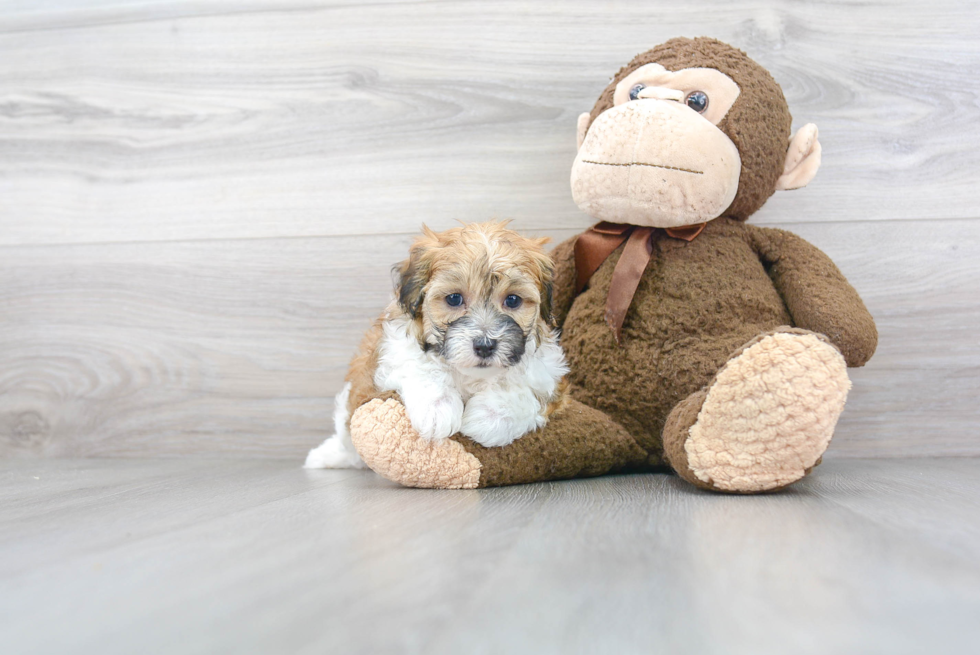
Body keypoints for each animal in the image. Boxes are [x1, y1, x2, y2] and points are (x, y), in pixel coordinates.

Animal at [304, 223, 568, 468]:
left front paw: (489, 416)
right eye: (454, 298)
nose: (484, 346)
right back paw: (326, 456)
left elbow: (527, 394)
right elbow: (420, 366)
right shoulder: (394, 350)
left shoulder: (549, 378)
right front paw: (437, 408)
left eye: (512, 300)